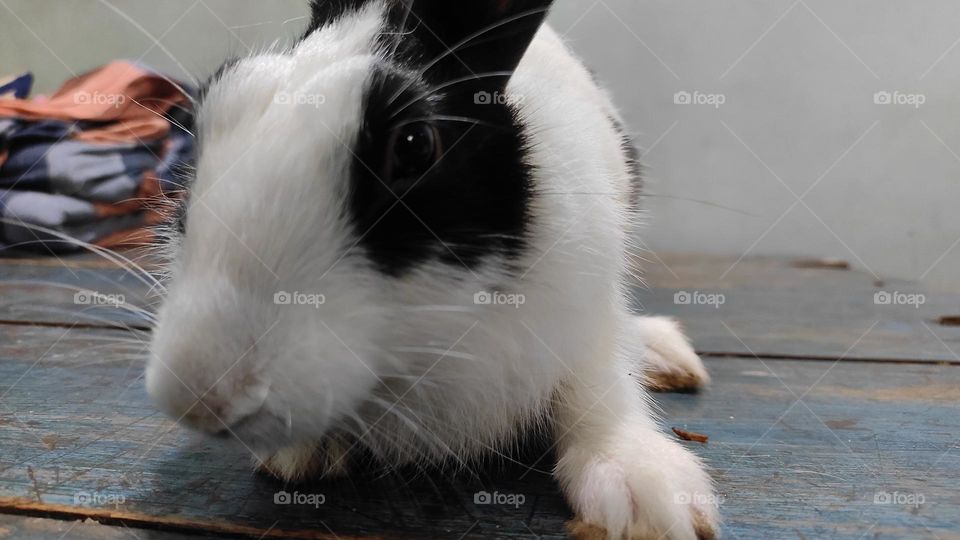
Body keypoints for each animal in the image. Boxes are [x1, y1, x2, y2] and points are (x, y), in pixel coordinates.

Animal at [145, 1, 719, 538]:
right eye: (210, 111)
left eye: (414, 145)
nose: (200, 396)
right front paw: (301, 454)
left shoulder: (588, 305)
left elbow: (598, 385)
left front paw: (645, 494)